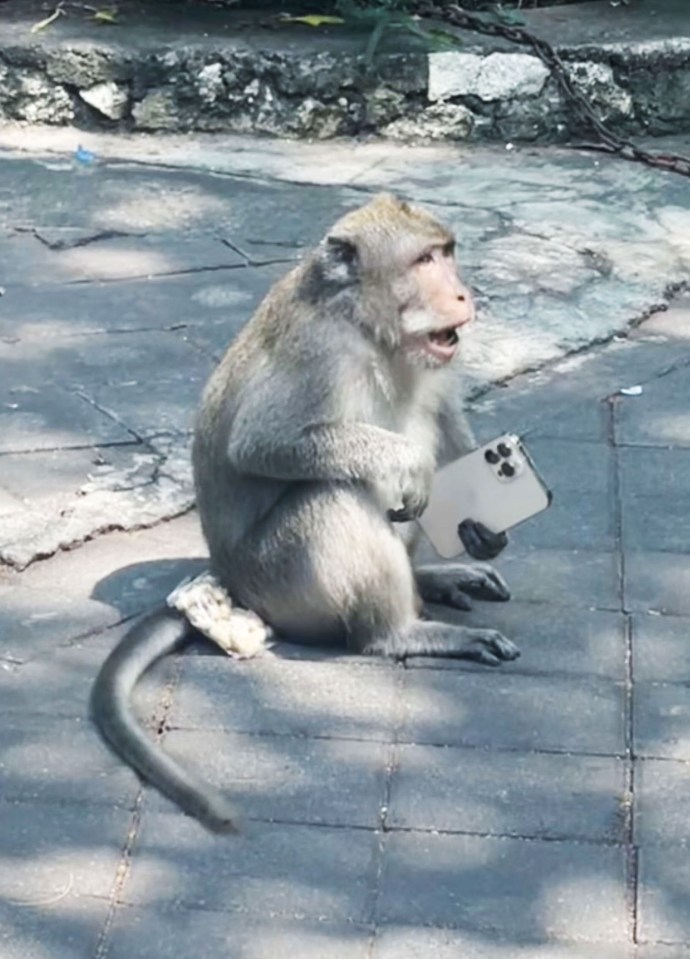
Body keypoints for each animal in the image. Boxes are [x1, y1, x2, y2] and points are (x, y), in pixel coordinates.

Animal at [90, 193, 516, 832]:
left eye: (447, 253)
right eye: (423, 261)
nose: (464, 295)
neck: (370, 330)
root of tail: (229, 580)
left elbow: (449, 426)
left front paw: (481, 525)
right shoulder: (321, 353)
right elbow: (263, 445)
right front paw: (413, 465)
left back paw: (429, 580)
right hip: (280, 581)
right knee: (338, 492)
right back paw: (398, 632)